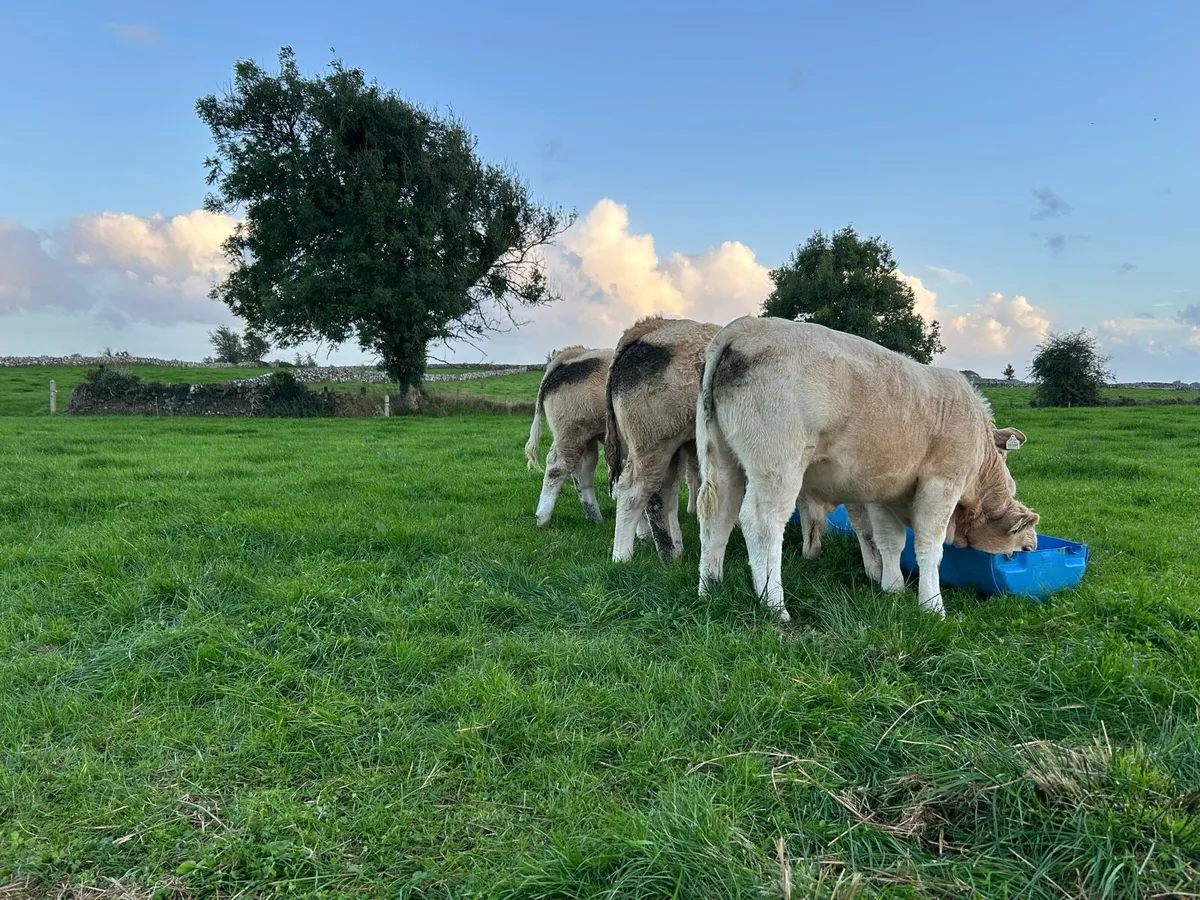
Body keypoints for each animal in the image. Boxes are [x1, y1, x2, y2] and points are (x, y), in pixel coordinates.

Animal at [605, 315, 719, 563]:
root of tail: (651, 328)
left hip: (671, 447)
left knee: (665, 493)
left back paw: (672, 551)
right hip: (651, 442)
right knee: (631, 492)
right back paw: (621, 557)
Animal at [695, 316, 1040, 621]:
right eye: (1024, 543)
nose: (1032, 547)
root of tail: (744, 326)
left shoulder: (886, 492)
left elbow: (889, 540)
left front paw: (893, 586)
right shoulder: (942, 483)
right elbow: (929, 545)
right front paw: (932, 606)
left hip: (722, 459)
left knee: (718, 516)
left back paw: (710, 588)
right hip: (777, 464)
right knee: (761, 524)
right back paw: (773, 604)